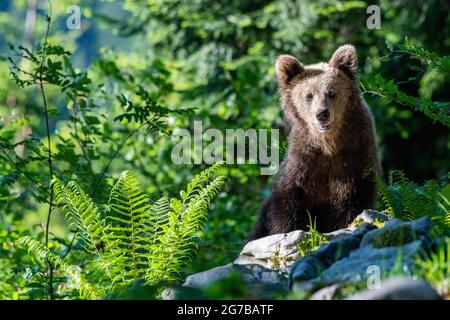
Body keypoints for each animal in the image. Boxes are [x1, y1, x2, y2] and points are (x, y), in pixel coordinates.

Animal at [248, 44, 382, 240]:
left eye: (331, 92)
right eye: (308, 95)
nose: (322, 113)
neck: (328, 145)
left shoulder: (354, 154)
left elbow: (351, 200)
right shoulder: (305, 159)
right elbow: (286, 206)